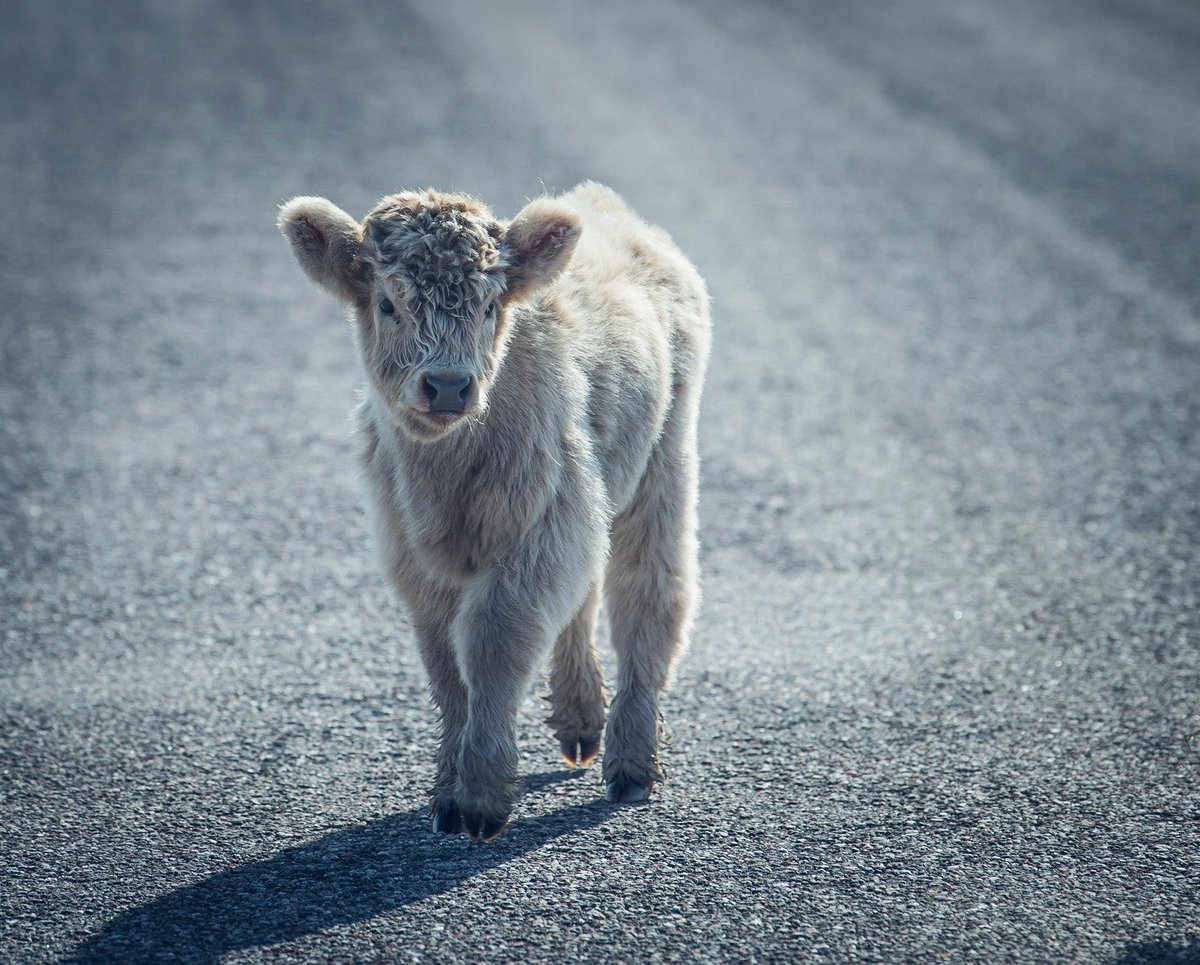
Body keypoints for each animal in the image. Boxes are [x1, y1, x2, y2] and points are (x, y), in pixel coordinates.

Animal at [278, 181, 710, 835]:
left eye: (488, 306)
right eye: (387, 303)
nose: (448, 386)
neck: (447, 472)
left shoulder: (541, 526)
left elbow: (494, 640)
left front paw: (482, 797)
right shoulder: (414, 554)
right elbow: (445, 666)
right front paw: (446, 795)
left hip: (662, 467)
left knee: (649, 597)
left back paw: (631, 764)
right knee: (586, 598)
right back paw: (581, 723)